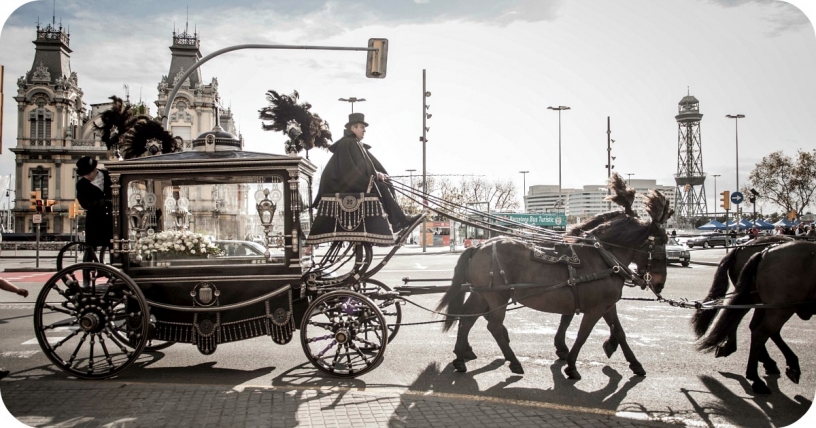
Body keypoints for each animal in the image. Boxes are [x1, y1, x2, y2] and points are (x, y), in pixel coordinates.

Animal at [436, 176, 672, 380]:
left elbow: (619, 332)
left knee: (467, 319)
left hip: (483, 294)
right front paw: (572, 365)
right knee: (492, 326)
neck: (602, 257)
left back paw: (460, 359)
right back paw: (513, 362)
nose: (660, 283)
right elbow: (583, 334)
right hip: (497, 297)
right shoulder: (595, 308)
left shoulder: (606, 305)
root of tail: (478, 247)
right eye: (661, 242)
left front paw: (634, 363)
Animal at [700, 241, 816, 394]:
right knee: (761, 332)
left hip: (762, 302)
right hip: (779, 307)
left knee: (753, 326)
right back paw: (757, 377)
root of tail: (764, 251)